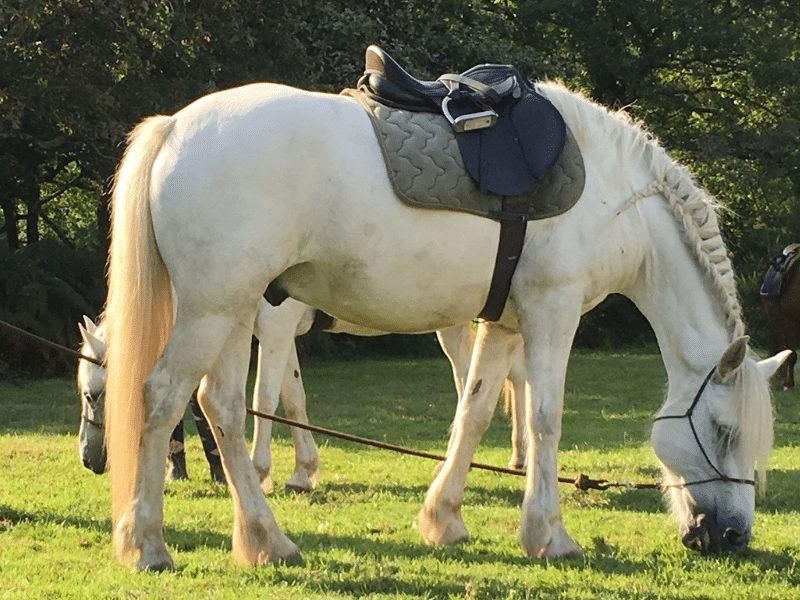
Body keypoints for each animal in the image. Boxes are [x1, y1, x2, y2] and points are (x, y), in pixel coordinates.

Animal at [101, 77, 788, 568]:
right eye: (725, 432)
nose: (733, 536)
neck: (616, 196)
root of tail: (175, 126)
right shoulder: (553, 311)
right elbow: (545, 418)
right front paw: (550, 537)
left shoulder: (504, 325)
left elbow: (475, 412)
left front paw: (444, 519)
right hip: (214, 311)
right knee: (162, 398)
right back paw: (148, 545)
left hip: (234, 310)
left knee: (219, 406)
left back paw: (266, 541)